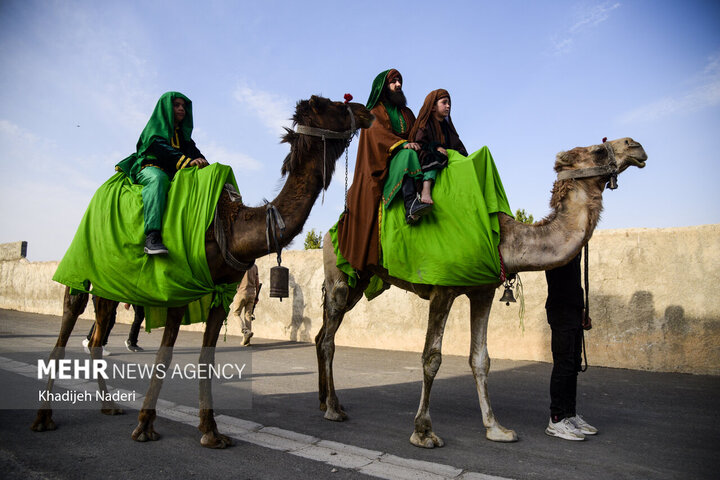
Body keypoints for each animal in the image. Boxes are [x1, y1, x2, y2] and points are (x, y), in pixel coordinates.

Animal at [31, 95, 374, 448]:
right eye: (335, 105)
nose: (365, 111)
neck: (232, 228)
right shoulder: (177, 287)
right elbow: (165, 356)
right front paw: (145, 426)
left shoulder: (221, 291)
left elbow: (206, 359)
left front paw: (211, 431)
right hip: (83, 269)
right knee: (67, 324)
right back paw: (44, 418)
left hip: (110, 286)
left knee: (98, 335)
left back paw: (109, 405)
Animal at [316, 137, 648, 448]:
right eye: (598, 150)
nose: (636, 146)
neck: (502, 240)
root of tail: (329, 232)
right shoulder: (442, 290)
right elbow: (431, 357)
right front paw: (424, 433)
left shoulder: (483, 292)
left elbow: (481, 359)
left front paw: (497, 429)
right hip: (341, 279)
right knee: (330, 337)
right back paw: (333, 409)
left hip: (359, 283)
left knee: (322, 335)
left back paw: (326, 402)